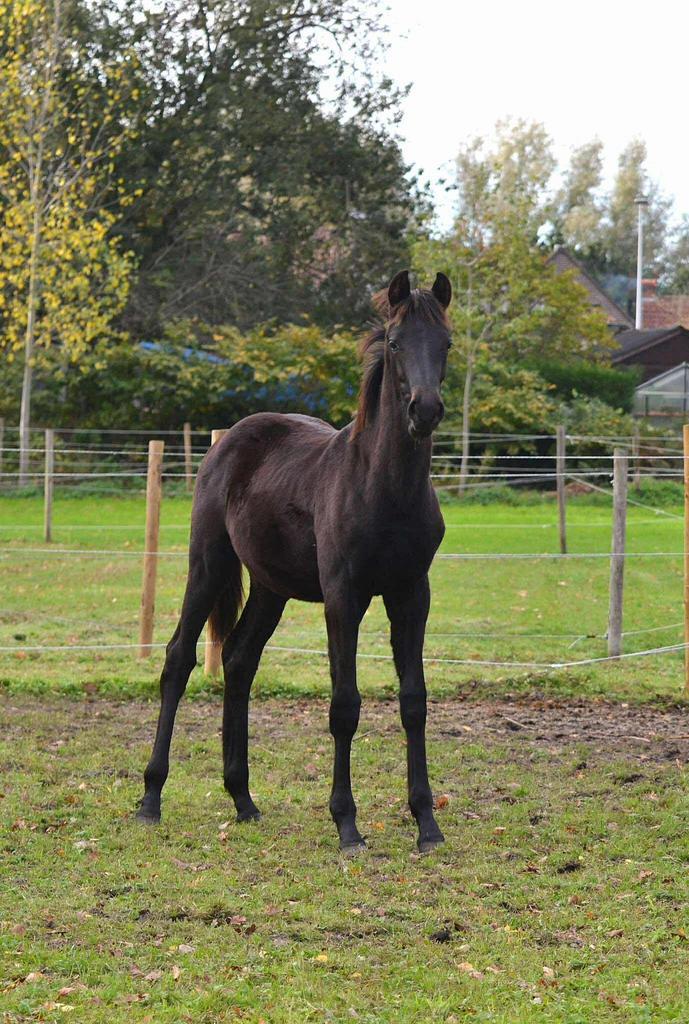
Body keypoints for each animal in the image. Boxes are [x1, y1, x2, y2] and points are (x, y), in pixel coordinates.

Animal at [137, 268, 453, 852]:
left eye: (446, 344)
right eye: (396, 343)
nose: (425, 411)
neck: (383, 488)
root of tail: (227, 440)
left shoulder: (411, 594)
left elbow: (414, 701)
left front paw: (426, 823)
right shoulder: (343, 598)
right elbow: (345, 705)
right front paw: (347, 825)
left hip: (271, 587)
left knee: (239, 659)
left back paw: (242, 798)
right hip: (208, 564)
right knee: (178, 658)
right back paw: (150, 798)